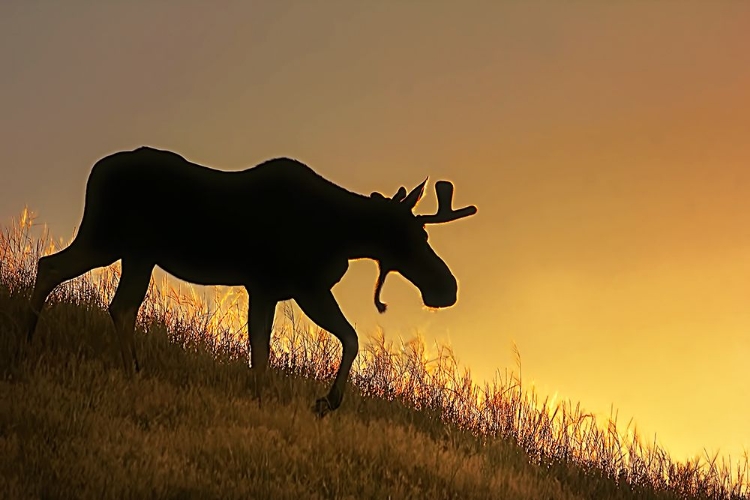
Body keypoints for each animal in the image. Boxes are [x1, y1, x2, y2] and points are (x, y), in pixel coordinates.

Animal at [27, 146, 482, 416]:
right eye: (413, 237)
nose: (448, 287)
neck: (342, 233)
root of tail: (95, 171)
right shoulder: (293, 286)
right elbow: (333, 340)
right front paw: (321, 401)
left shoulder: (277, 290)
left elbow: (267, 347)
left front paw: (269, 398)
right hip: (116, 241)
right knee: (101, 295)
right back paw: (125, 368)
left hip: (127, 250)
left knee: (59, 271)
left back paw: (34, 340)